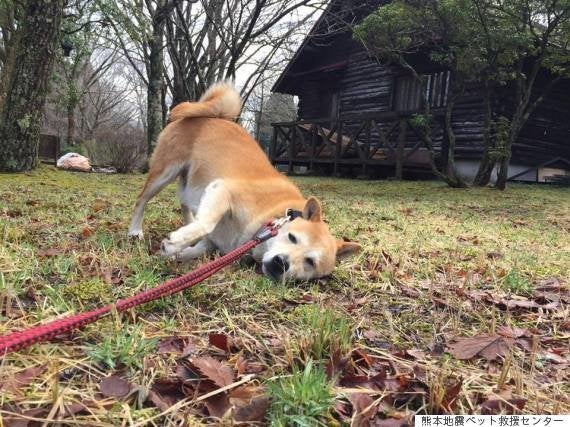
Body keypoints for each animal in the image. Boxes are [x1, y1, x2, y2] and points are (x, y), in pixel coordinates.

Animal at [129, 82, 360, 282]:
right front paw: (174, 244)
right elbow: (206, 223)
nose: (281, 263)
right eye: (292, 238)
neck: (271, 217)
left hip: (189, 181)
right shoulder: (222, 190)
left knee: (184, 203)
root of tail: (213, 116)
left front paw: (174, 251)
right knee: (141, 200)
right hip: (165, 172)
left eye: (310, 262)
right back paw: (135, 231)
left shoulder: (214, 242)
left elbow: (194, 248)